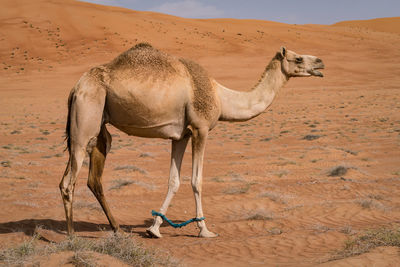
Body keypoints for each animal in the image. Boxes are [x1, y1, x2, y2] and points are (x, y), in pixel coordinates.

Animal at [58, 43, 322, 239]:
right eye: (298, 59)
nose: (320, 63)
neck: (221, 97)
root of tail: (75, 88)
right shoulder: (200, 128)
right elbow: (196, 180)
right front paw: (204, 229)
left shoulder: (181, 135)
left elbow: (173, 181)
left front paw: (154, 228)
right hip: (86, 116)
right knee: (68, 182)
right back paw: (72, 236)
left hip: (100, 127)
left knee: (94, 179)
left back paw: (118, 229)